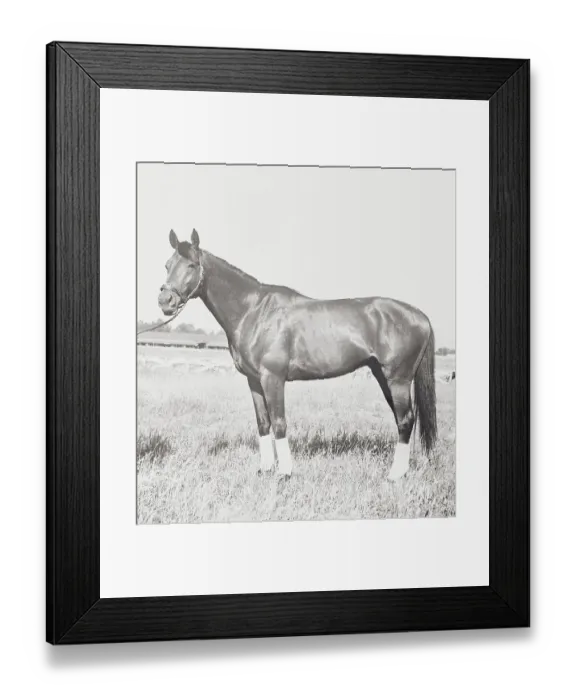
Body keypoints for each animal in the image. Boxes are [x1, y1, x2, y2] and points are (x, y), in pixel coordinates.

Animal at [158, 229, 437, 481]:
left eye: (192, 265)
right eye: (167, 265)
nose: (165, 300)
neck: (254, 311)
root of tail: (420, 316)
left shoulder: (273, 378)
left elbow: (279, 422)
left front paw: (284, 473)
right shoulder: (254, 381)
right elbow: (263, 423)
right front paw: (265, 469)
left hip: (398, 379)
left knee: (405, 420)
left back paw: (395, 475)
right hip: (382, 375)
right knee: (403, 419)